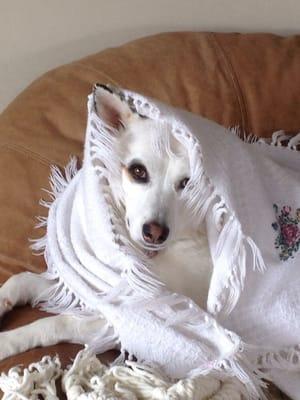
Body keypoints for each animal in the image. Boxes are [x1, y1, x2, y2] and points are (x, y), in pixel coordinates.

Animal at [0, 89, 213, 360]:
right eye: (138, 171)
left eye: (188, 184)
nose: (155, 233)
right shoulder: (95, 285)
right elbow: (24, 280)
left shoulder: (136, 321)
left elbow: (60, 322)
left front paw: (7, 341)